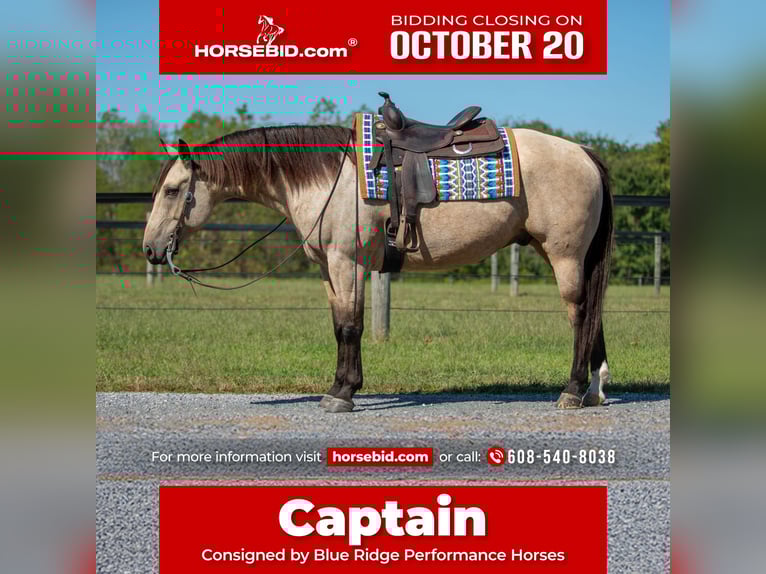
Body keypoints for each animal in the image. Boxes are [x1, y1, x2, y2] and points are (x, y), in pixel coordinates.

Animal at [143, 123, 613, 413]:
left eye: (172, 190)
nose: (149, 249)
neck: (328, 178)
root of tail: (583, 152)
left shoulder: (347, 264)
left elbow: (352, 326)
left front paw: (343, 393)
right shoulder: (328, 269)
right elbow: (339, 326)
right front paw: (341, 386)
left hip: (565, 256)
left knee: (580, 315)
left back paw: (572, 391)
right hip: (571, 256)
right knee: (594, 314)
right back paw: (595, 389)